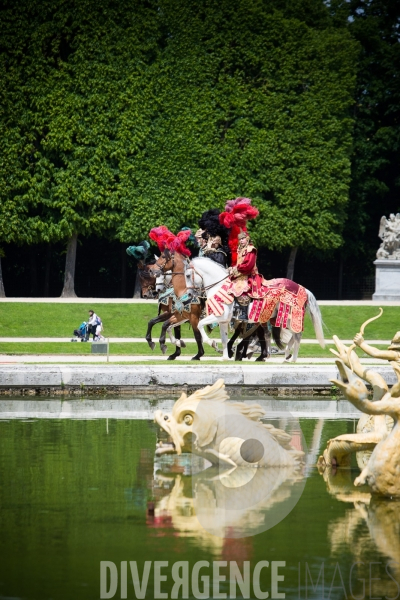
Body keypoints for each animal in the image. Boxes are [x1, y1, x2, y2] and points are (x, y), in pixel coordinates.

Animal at [187, 256, 324, 360]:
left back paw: (292, 358)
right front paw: (225, 357)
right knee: (291, 336)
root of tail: (302, 288)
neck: (219, 287)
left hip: (290, 318)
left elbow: (200, 324)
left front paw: (212, 343)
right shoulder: (223, 321)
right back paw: (285, 355)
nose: (188, 295)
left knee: (297, 335)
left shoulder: (219, 316)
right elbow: (224, 338)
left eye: (188, 275)